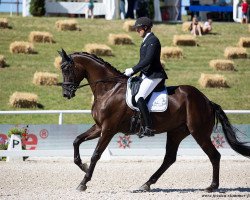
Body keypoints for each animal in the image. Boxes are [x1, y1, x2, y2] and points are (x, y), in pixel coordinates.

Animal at [58, 48, 250, 192]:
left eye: (66, 69)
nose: (66, 94)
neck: (109, 89)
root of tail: (207, 100)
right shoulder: (99, 127)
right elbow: (76, 140)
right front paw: (82, 166)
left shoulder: (108, 129)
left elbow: (96, 154)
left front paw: (83, 182)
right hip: (176, 132)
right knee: (169, 158)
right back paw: (147, 183)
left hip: (199, 132)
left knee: (214, 155)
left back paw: (212, 186)